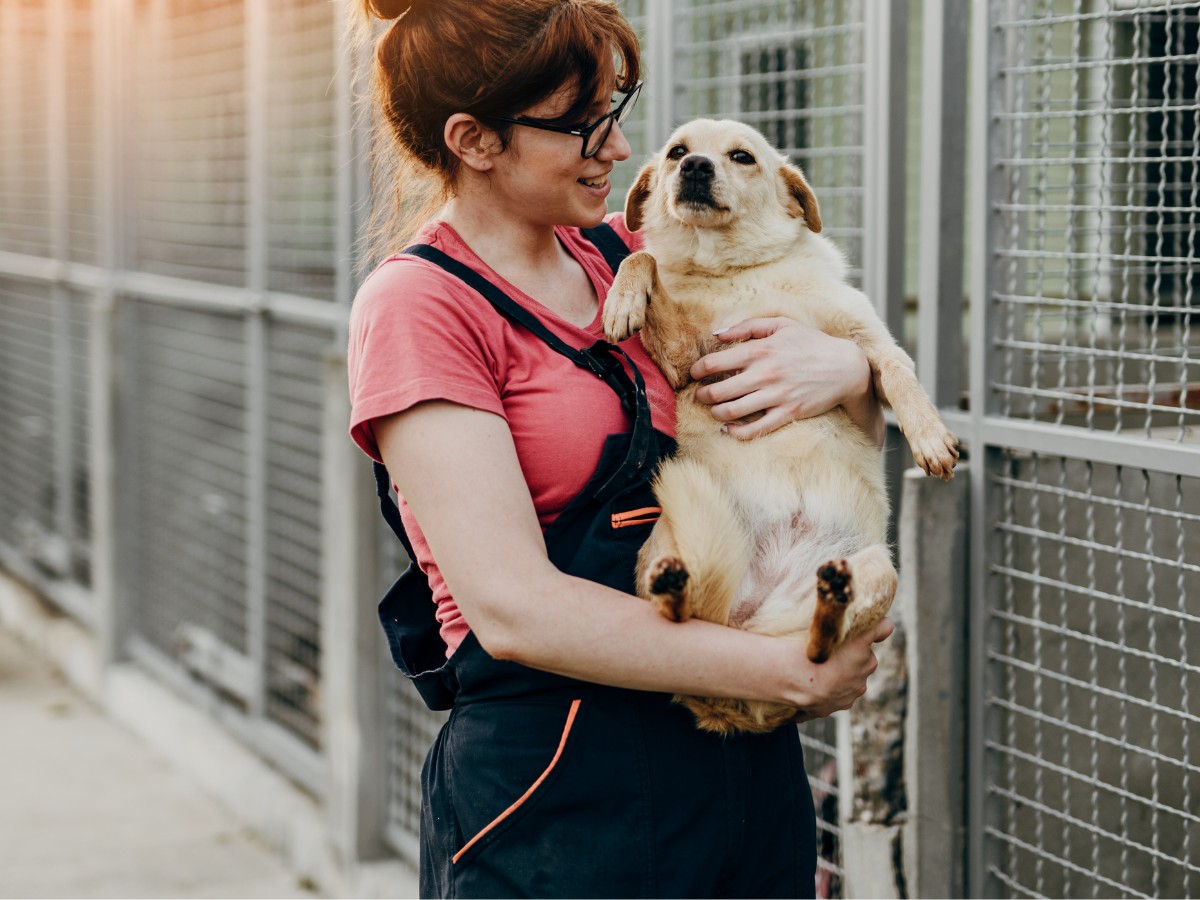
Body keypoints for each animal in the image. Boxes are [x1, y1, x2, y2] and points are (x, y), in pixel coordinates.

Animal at [604, 120, 960, 734]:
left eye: (742, 157)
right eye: (677, 152)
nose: (694, 166)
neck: (737, 273)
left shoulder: (864, 339)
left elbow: (899, 372)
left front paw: (930, 437)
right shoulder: (686, 359)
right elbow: (643, 260)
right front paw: (622, 300)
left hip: (881, 570)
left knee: (817, 651)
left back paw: (830, 604)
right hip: (665, 542)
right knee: (680, 618)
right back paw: (677, 589)